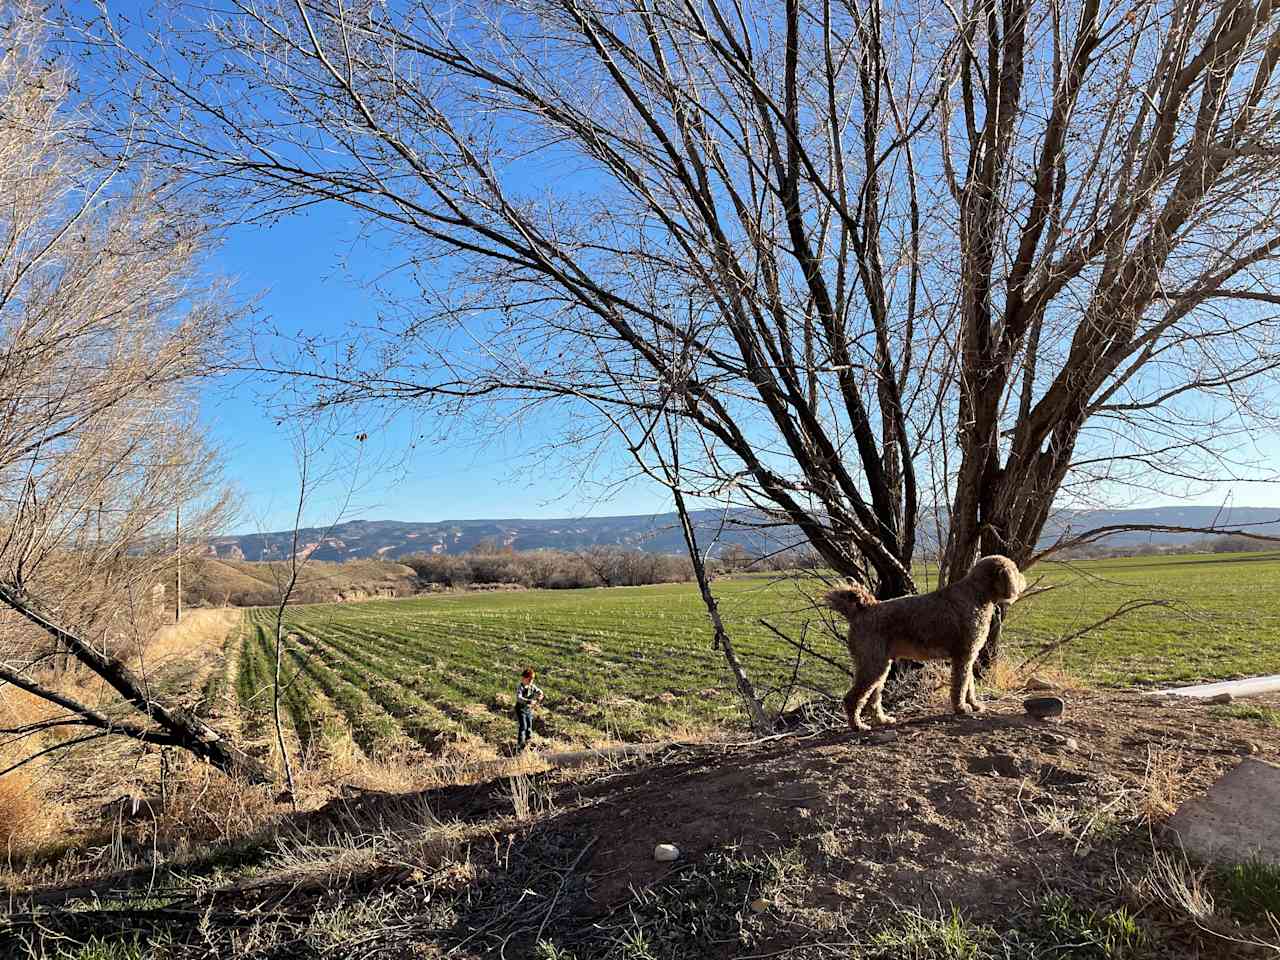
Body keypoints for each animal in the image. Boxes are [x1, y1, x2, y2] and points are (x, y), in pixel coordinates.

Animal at [824, 552, 1024, 732]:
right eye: (1015, 569)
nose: (1023, 580)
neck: (977, 595)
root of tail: (863, 610)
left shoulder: (968, 656)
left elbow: (969, 685)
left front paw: (974, 705)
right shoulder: (964, 656)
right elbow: (960, 685)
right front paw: (961, 708)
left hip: (879, 666)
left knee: (872, 699)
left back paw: (882, 720)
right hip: (873, 665)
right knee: (852, 699)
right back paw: (857, 725)